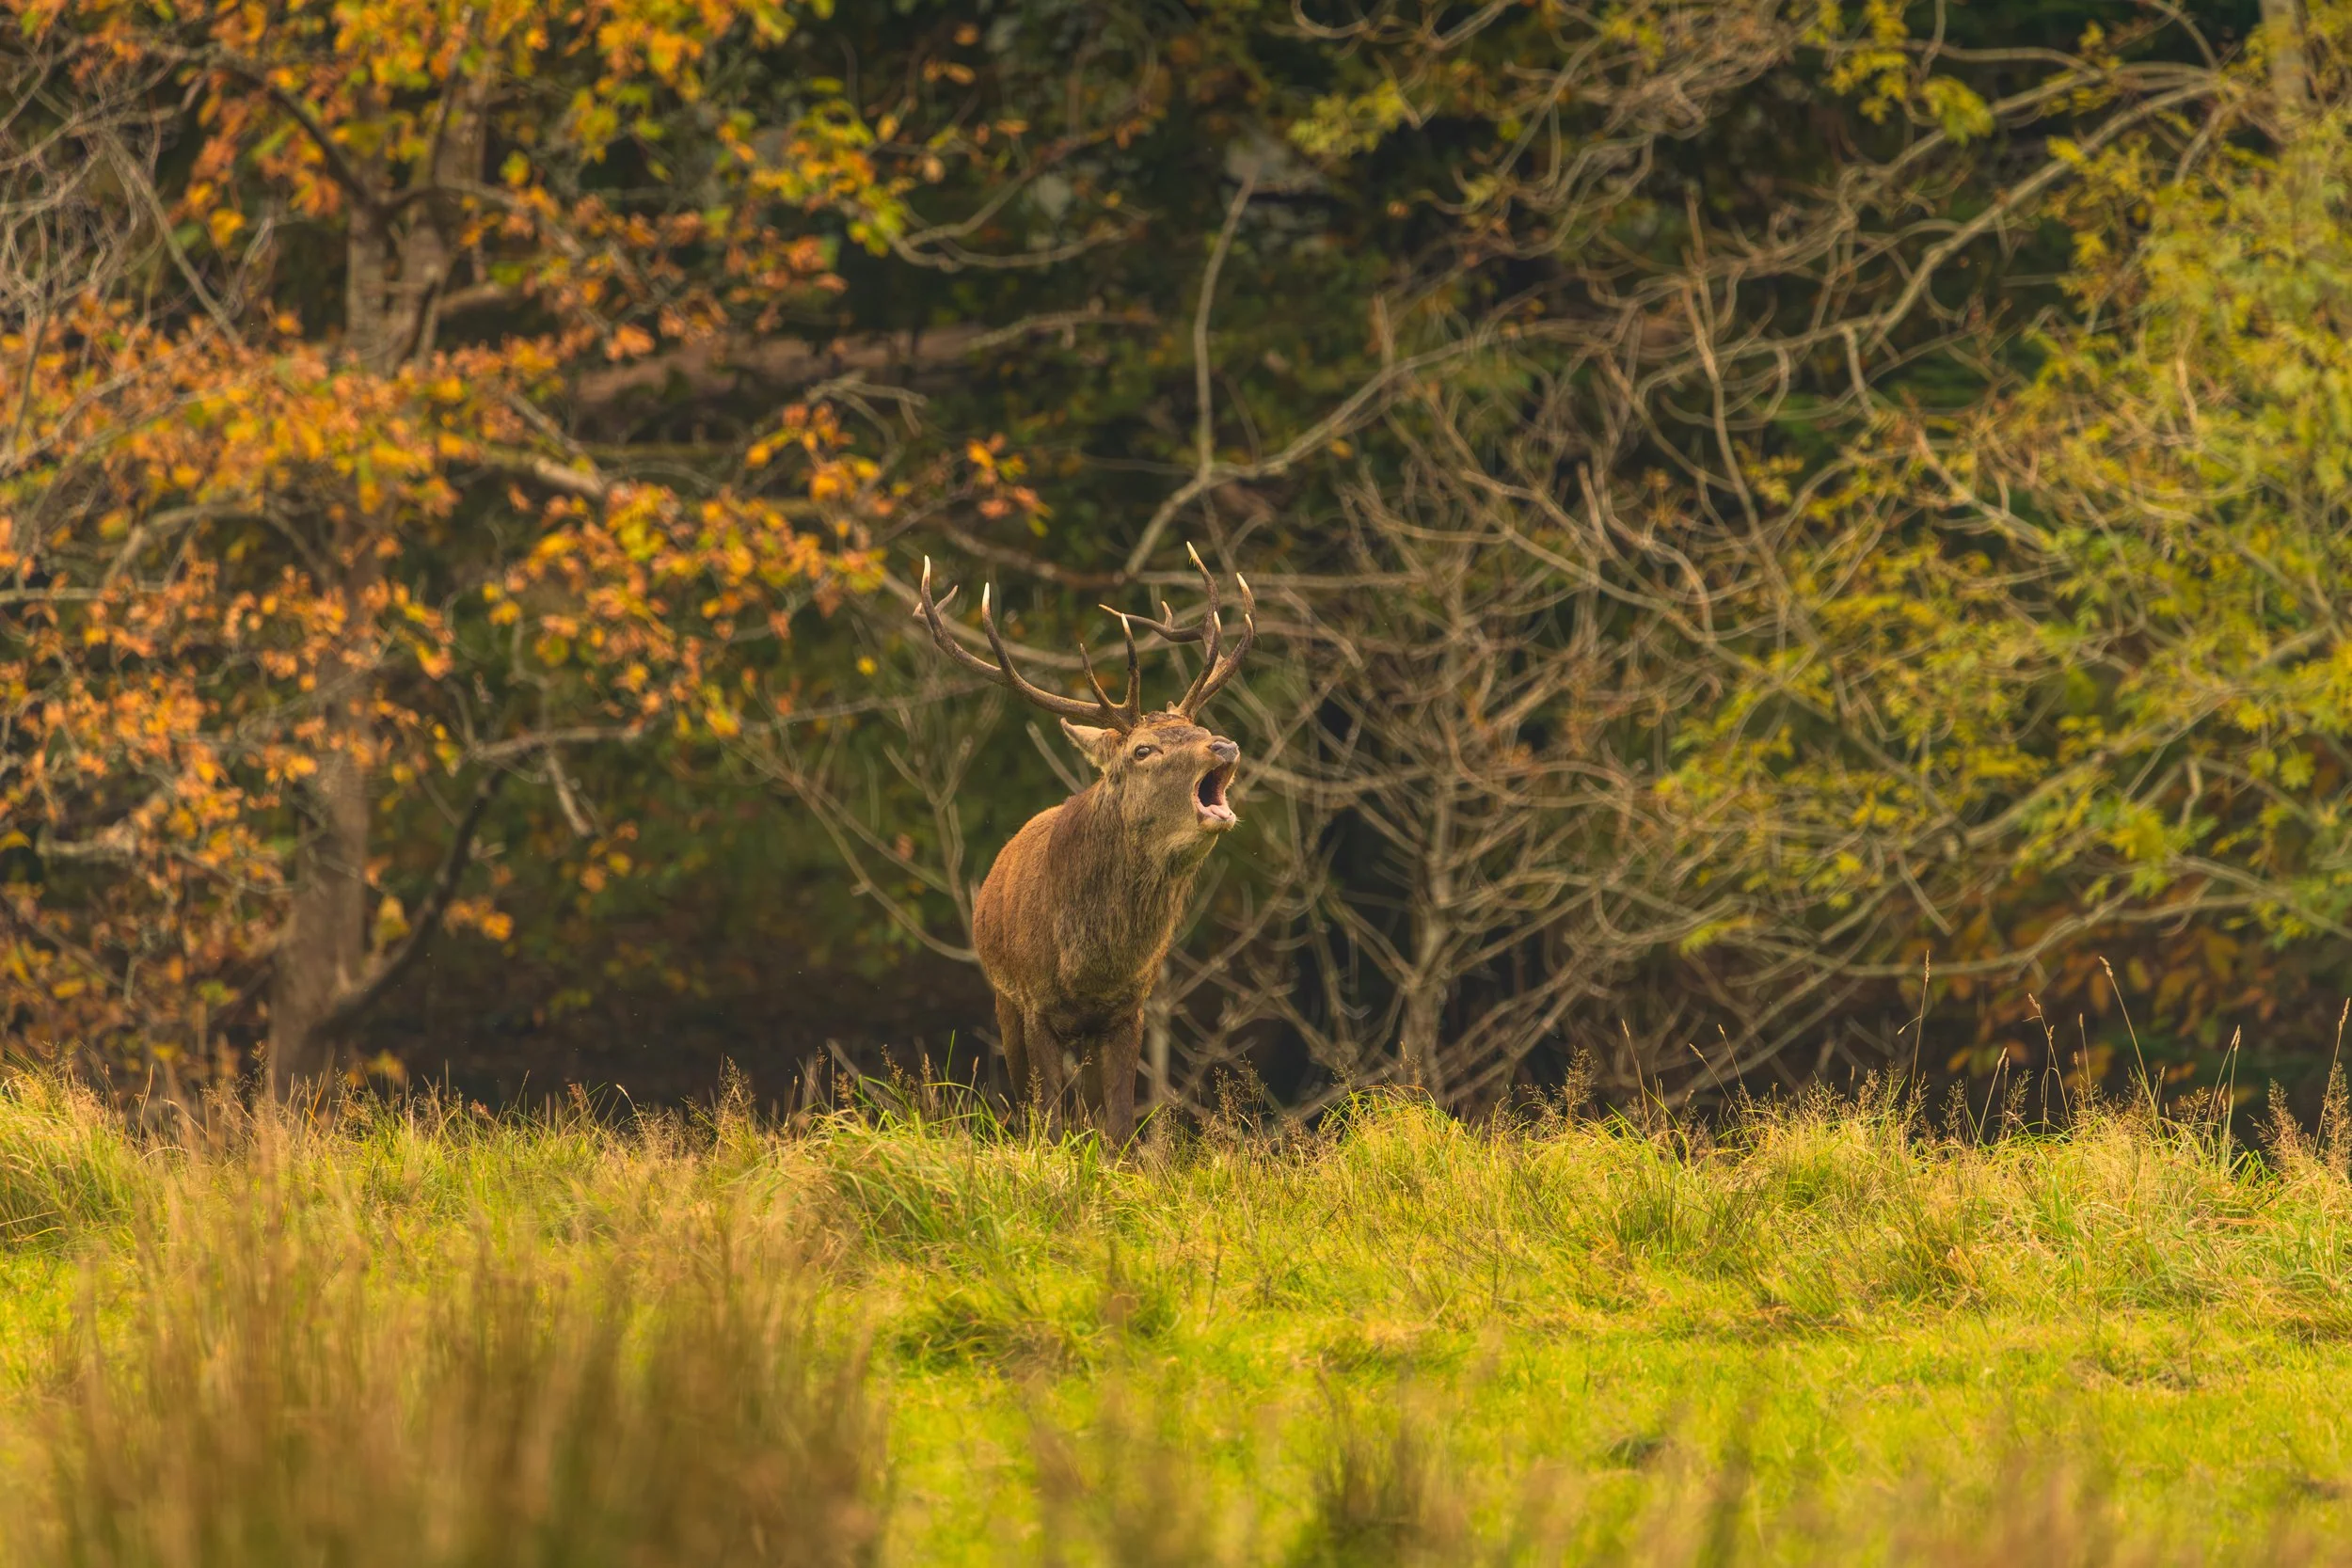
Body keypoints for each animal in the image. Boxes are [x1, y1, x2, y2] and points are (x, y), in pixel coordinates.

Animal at [913, 547, 1254, 1144]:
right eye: (1143, 749)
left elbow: (1117, 1126)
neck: (1091, 965)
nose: (1224, 744)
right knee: (1027, 1107)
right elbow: (1048, 1122)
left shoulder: (1127, 1009)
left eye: (1200, 728)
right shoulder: (1034, 1002)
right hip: (1003, 998)